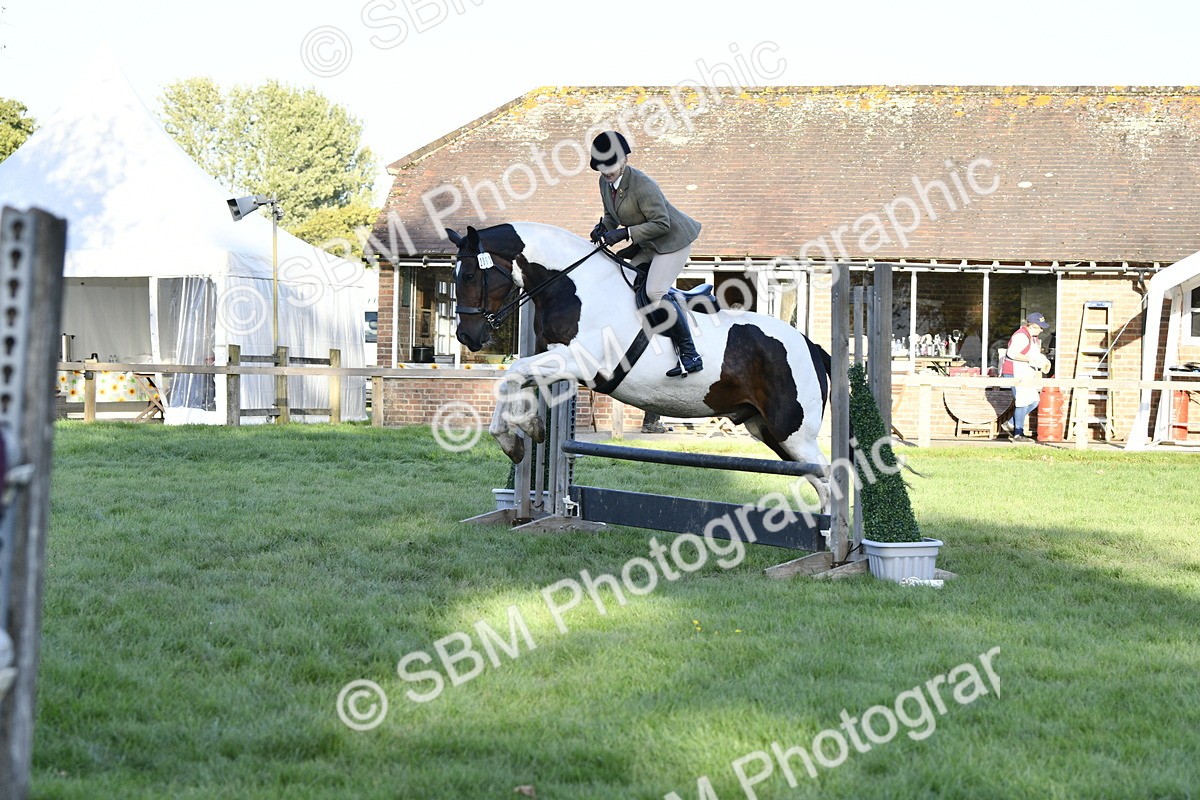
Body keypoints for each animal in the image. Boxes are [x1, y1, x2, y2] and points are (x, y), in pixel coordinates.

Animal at [449, 221, 833, 506]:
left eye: (468, 276)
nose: (466, 336)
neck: (573, 286)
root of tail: (812, 348)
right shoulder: (555, 357)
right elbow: (516, 377)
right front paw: (524, 432)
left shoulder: (580, 362)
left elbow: (514, 373)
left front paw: (516, 435)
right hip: (766, 428)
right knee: (819, 480)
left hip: (793, 431)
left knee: (829, 479)